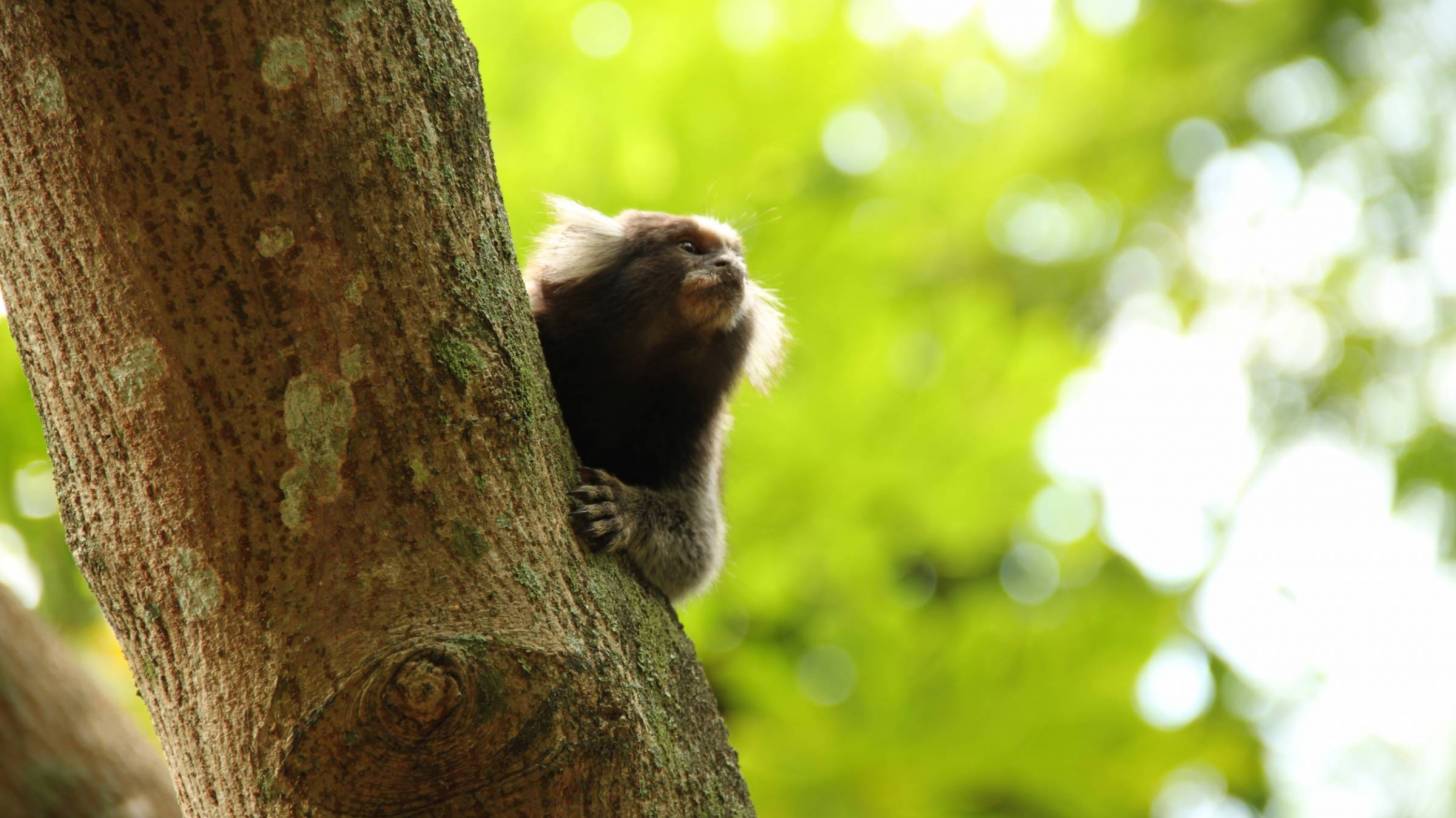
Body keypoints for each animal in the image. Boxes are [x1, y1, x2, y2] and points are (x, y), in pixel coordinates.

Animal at [524, 197, 785, 601]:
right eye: (689, 247)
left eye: (734, 255)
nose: (731, 266)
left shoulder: (695, 428)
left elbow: (698, 552)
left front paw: (624, 509)